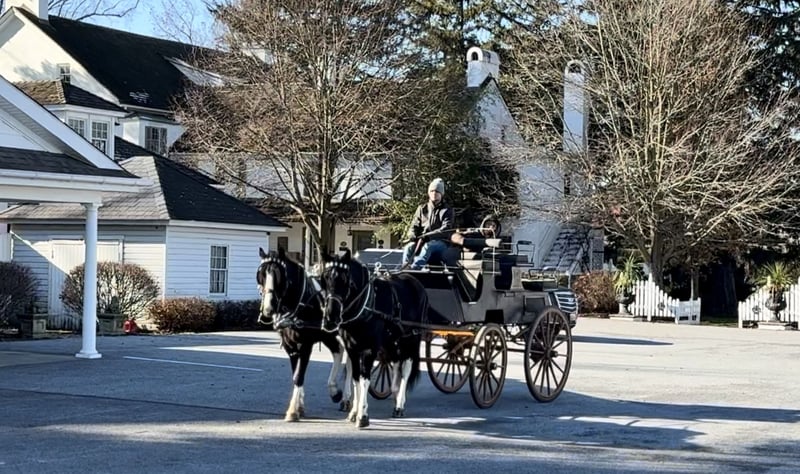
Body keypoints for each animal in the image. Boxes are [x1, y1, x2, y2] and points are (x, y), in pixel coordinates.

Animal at [256, 246, 352, 421]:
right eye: (261, 275)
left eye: (279, 276)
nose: (268, 308)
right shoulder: (291, 346)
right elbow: (296, 373)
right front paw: (299, 406)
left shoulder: (306, 345)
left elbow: (299, 376)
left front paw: (293, 411)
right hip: (327, 334)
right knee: (338, 352)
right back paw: (334, 390)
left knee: (349, 363)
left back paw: (347, 399)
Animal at [319, 248, 428, 428]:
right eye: (324, 278)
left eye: (345, 280)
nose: (330, 318)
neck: (366, 304)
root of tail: (415, 281)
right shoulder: (352, 348)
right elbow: (356, 378)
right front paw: (354, 412)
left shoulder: (369, 349)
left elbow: (364, 379)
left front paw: (362, 416)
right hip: (393, 339)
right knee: (396, 363)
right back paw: (395, 393)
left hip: (411, 338)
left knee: (406, 368)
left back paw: (399, 404)